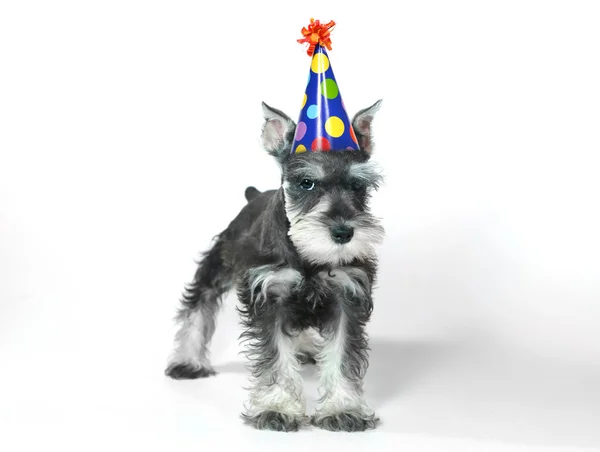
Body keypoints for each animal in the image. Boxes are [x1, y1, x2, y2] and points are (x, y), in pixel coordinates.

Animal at [165, 100, 384, 432]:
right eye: (306, 183)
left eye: (358, 185)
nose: (343, 232)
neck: (308, 255)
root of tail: (254, 196)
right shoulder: (269, 295)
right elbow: (276, 356)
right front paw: (276, 408)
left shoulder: (347, 296)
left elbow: (342, 355)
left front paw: (343, 409)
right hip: (217, 265)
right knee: (199, 305)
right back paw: (187, 361)